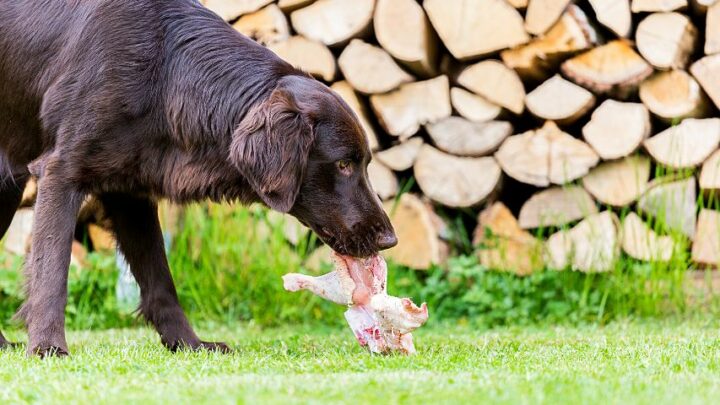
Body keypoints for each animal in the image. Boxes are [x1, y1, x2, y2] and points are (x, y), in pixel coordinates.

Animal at [0, 0, 396, 356]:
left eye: (366, 163)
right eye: (343, 164)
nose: (390, 240)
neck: (163, 74)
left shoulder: (129, 193)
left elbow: (160, 279)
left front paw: (188, 343)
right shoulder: (60, 171)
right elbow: (52, 271)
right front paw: (47, 345)